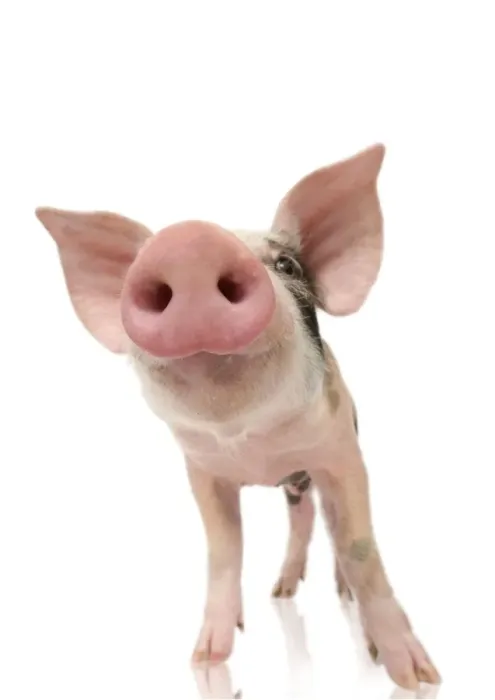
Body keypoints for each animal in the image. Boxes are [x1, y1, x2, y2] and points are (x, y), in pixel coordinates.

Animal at [35, 143, 440, 691]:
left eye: (286, 263)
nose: (190, 241)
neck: (256, 450)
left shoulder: (342, 453)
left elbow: (360, 547)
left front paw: (417, 676)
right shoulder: (203, 472)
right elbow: (223, 552)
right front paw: (206, 659)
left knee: (328, 531)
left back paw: (338, 596)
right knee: (301, 516)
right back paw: (281, 592)